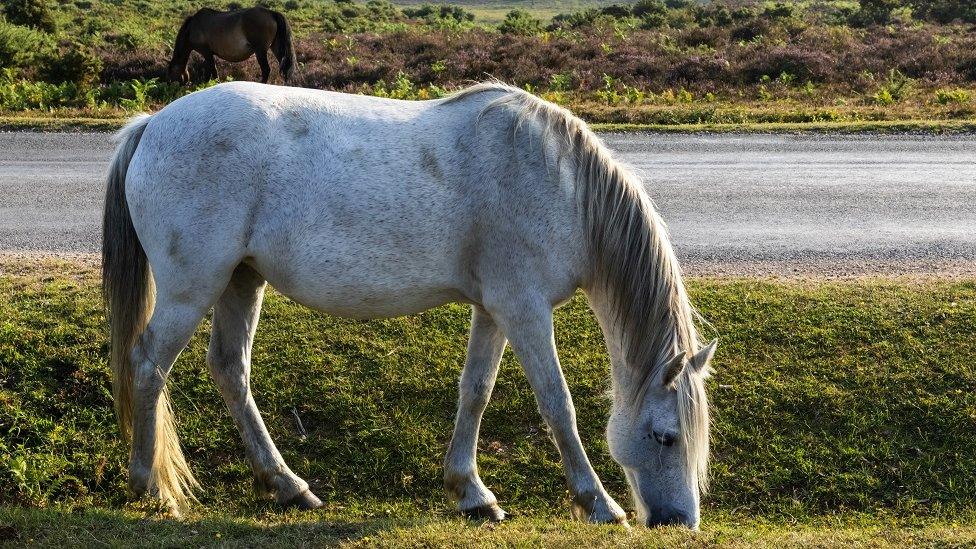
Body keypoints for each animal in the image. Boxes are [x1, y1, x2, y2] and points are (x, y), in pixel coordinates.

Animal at [101, 80, 716, 528]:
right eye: (665, 436)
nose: (679, 521)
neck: (559, 186)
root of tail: (153, 124)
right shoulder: (524, 310)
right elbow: (556, 404)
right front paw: (599, 503)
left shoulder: (494, 310)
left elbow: (476, 392)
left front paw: (471, 492)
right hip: (191, 288)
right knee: (148, 365)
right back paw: (150, 486)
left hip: (240, 282)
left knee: (230, 371)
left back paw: (288, 486)